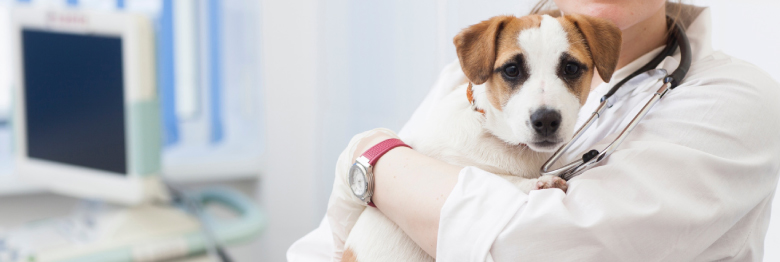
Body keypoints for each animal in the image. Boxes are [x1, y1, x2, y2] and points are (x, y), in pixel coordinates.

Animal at [342, 13, 620, 262]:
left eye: (571, 68)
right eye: (511, 70)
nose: (546, 121)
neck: (506, 142)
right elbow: (493, 177)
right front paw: (541, 182)